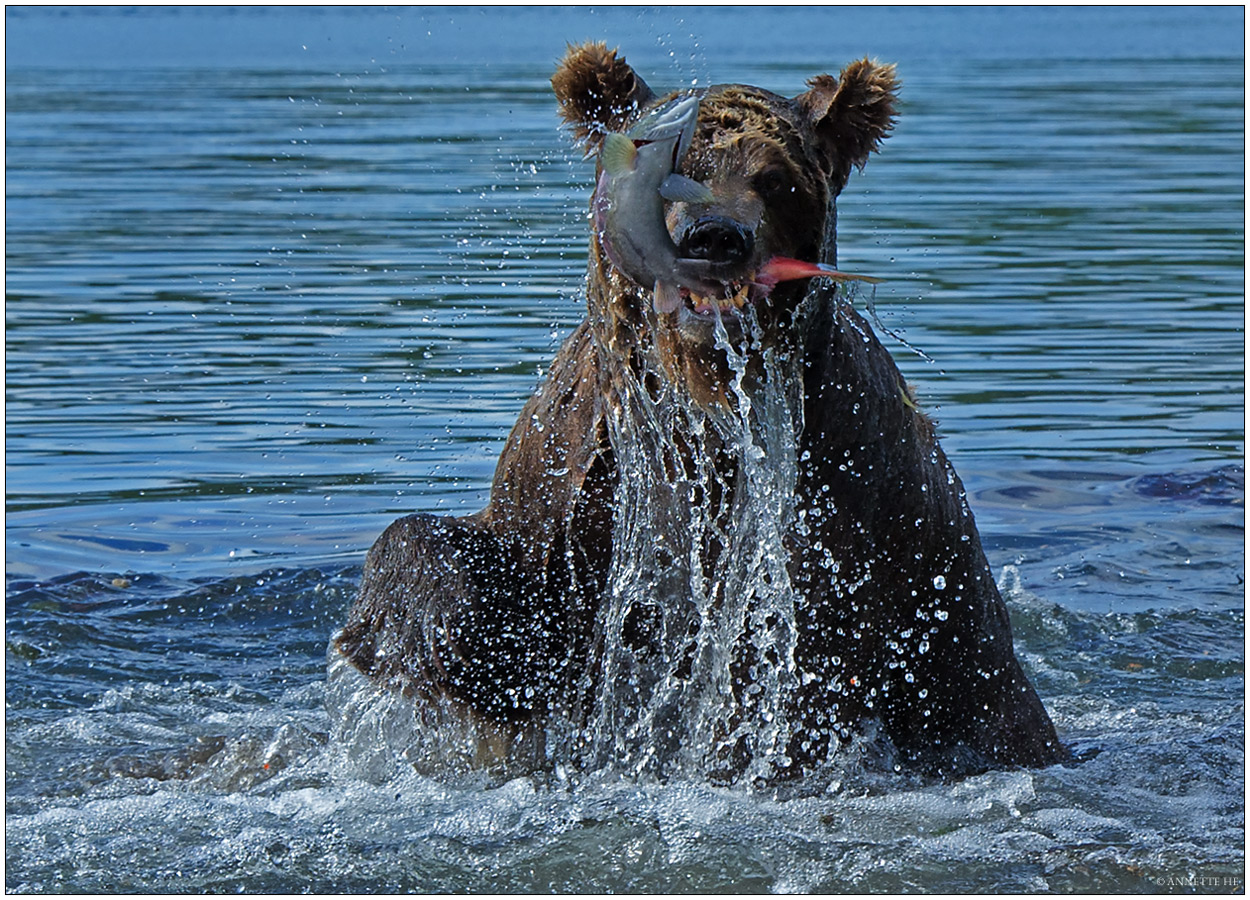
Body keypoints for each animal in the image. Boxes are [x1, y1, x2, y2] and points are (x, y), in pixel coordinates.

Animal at [332, 42, 1065, 785]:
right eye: (667, 170)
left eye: (776, 180)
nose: (714, 236)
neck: (701, 409)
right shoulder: (573, 479)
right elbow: (475, 570)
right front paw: (428, 639)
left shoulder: (845, 508)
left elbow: (786, 658)